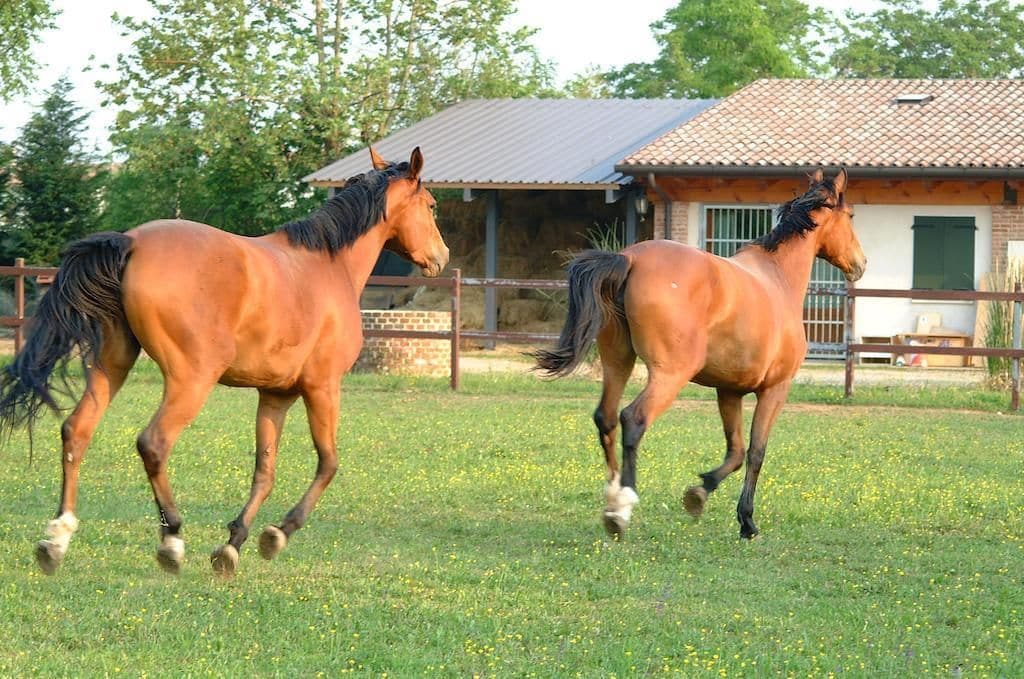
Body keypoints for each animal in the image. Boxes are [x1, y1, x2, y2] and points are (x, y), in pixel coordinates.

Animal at [0, 146, 449, 577]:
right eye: (431, 205)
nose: (441, 257)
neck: (327, 264)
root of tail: (132, 243)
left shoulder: (275, 396)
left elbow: (264, 471)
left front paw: (233, 545)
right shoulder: (323, 387)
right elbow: (328, 464)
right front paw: (276, 535)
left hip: (112, 367)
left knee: (76, 432)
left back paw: (55, 540)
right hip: (192, 379)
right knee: (153, 444)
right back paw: (172, 541)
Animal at [533, 168, 865, 540]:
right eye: (851, 216)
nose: (860, 263)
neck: (777, 277)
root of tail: (630, 259)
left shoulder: (729, 391)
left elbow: (735, 451)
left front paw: (698, 494)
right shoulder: (775, 389)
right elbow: (756, 451)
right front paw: (747, 521)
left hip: (618, 362)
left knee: (605, 418)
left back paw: (611, 502)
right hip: (670, 373)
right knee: (633, 418)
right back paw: (622, 507)